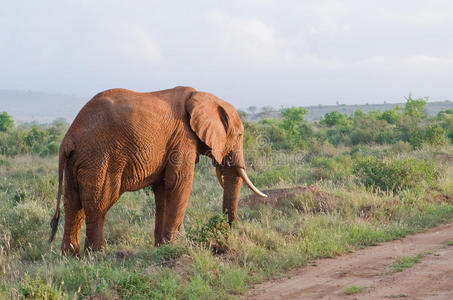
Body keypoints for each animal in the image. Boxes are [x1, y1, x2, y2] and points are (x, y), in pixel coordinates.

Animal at [47, 86, 266, 255]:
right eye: (240, 135)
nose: (230, 234)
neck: (202, 96)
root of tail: (68, 138)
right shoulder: (183, 138)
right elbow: (179, 183)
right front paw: (174, 246)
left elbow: (162, 190)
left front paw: (162, 246)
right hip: (100, 158)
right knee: (97, 204)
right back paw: (97, 255)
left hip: (76, 162)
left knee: (73, 204)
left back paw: (71, 257)